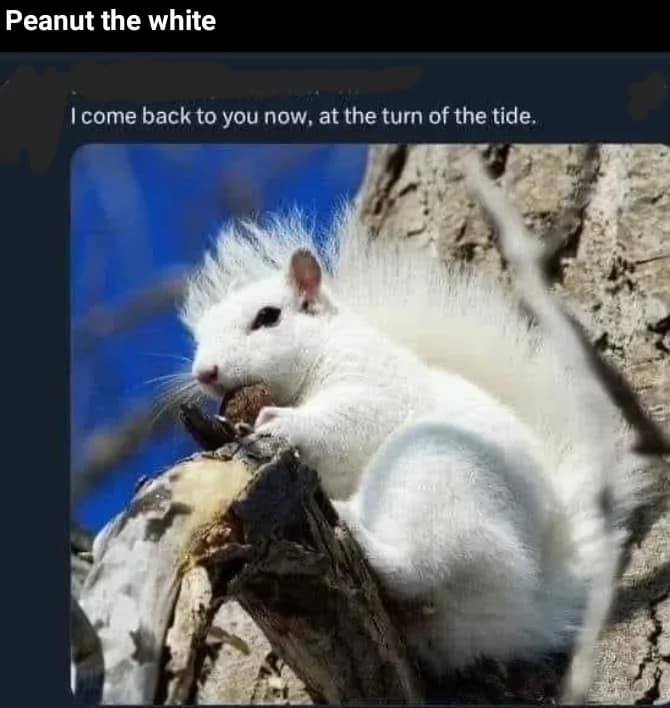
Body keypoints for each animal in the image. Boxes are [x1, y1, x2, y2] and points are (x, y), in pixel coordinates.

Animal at [178, 152, 656, 702]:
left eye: (268, 317)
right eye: (199, 336)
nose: (205, 373)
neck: (322, 349)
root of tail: (527, 609)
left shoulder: (377, 388)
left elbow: (350, 424)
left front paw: (280, 422)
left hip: (437, 472)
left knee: (420, 566)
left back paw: (359, 531)